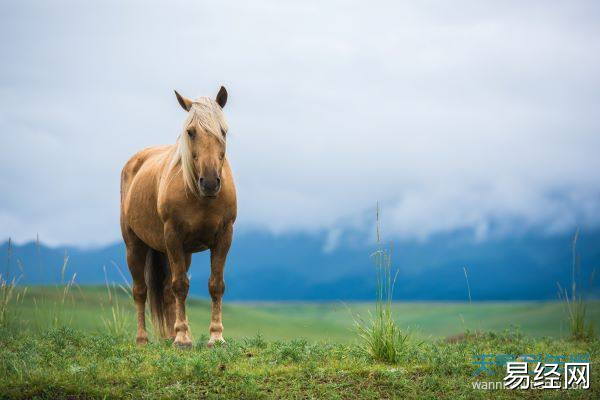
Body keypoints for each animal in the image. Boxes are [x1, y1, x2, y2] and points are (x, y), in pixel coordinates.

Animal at [120, 86, 237, 346]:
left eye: (223, 131)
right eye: (190, 132)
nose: (210, 182)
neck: (199, 197)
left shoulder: (224, 236)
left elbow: (216, 285)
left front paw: (216, 337)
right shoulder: (172, 236)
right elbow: (181, 285)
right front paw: (183, 339)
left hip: (183, 252)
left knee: (165, 291)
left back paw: (169, 336)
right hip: (135, 245)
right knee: (140, 291)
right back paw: (143, 339)